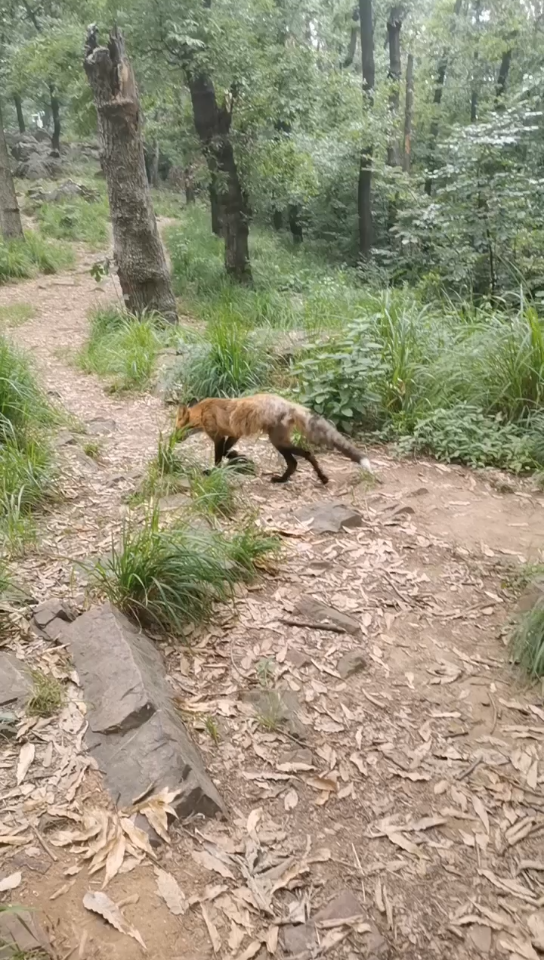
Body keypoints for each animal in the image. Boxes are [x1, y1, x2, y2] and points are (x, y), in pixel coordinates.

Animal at [176, 394, 372, 488]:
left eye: (178, 429)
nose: (174, 440)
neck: (203, 412)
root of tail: (289, 404)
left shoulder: (217, 436)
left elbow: (218, 456)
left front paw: (213, 472)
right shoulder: (234, 434)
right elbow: (226, 451)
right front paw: (235, 455)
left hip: (277, 442)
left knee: (302, 456)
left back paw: (285, 479)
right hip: (280, 441)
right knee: (298, 460)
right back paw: (316, 478)